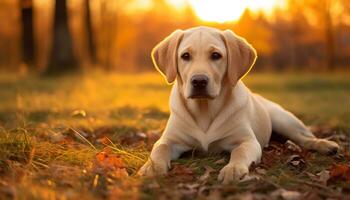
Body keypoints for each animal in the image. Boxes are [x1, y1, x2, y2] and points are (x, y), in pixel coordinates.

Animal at [137, 26, 340, 184]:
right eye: (185, 56)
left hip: (284, 119)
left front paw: (233, 169)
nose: (199, 81)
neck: (204, 110)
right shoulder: (170, 139)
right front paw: (152, 166)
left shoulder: (247, 141)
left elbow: (240, 153)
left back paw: (327, 145)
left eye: (216, 55)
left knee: (305, 138)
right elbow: (160, 148)